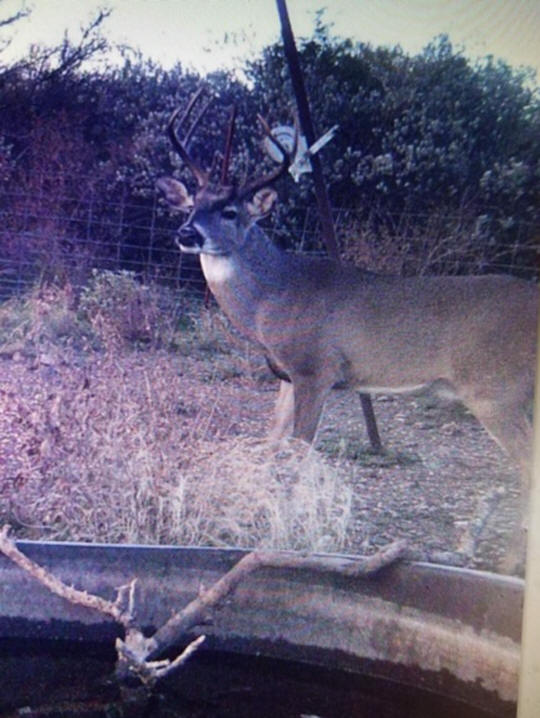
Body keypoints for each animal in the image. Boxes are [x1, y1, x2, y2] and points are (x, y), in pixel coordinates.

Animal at [157, 91, 538, 571]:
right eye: (192, 204)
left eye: (229, 211)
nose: (187, 232)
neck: (272, 301)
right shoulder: (286, 375)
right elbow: (271, 442)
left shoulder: (315, 369)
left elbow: (299, 453)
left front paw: (288, 535)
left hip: (495, 389)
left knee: (529, 467)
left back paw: (508, 566)